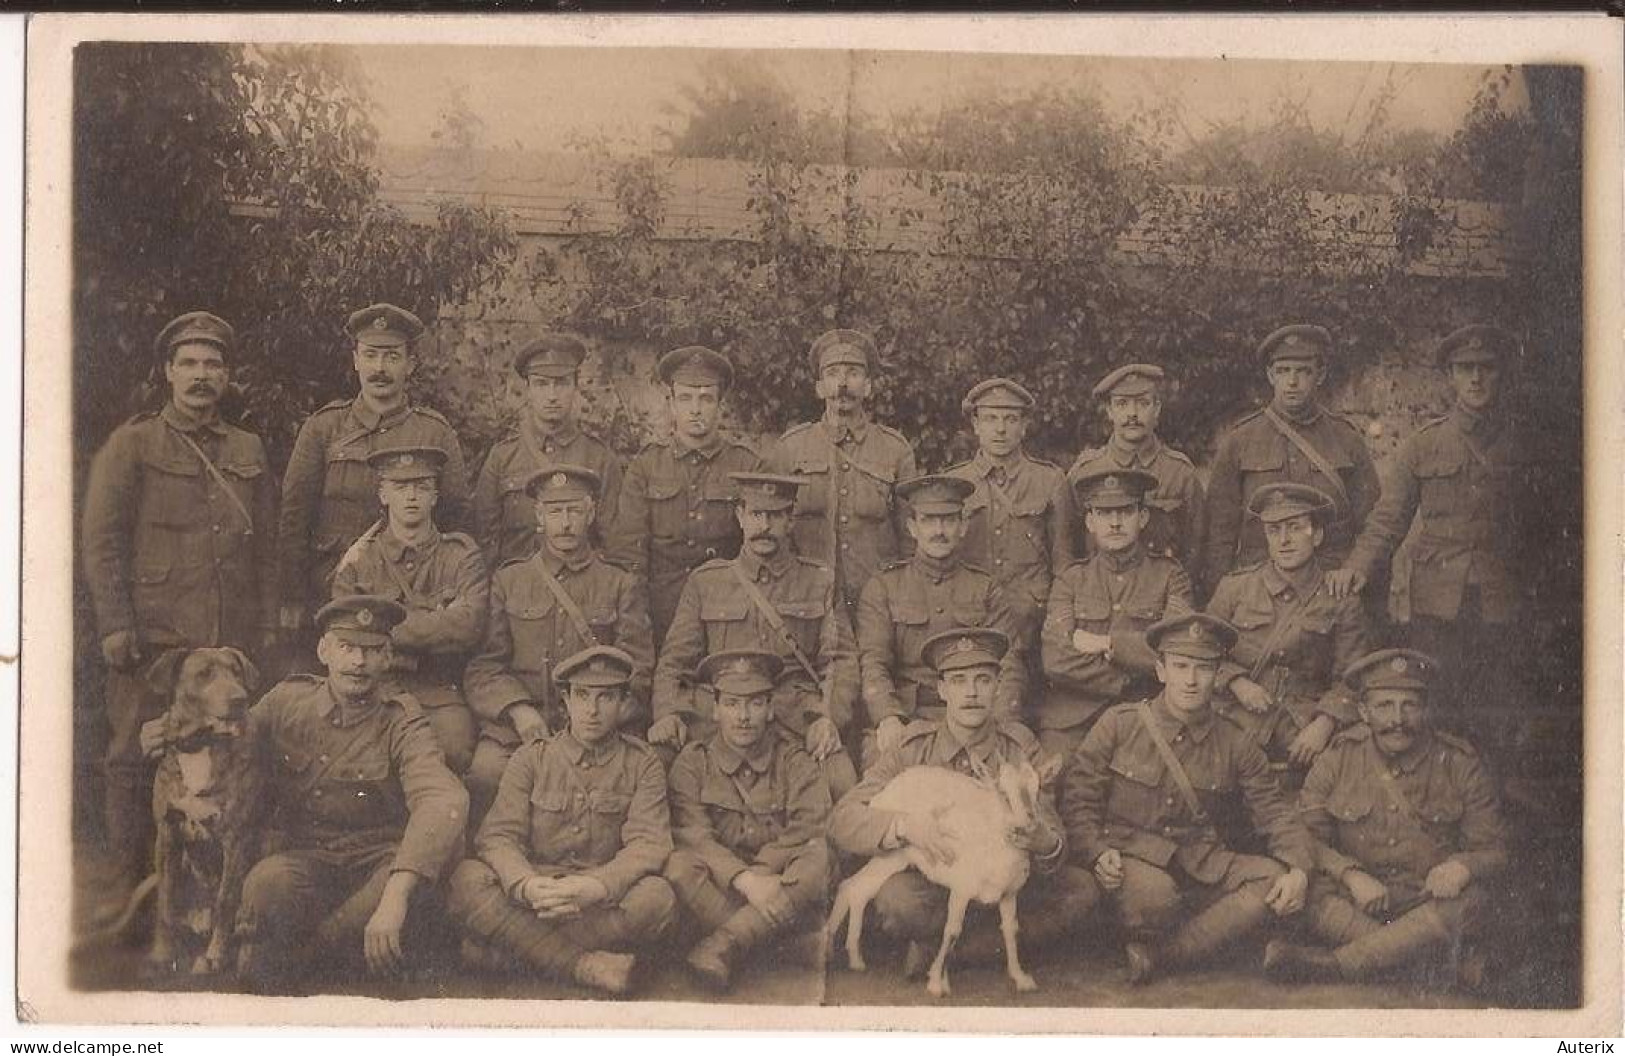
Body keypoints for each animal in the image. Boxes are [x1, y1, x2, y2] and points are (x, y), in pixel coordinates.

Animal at [139, 646, 263, 974]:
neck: (201, 744)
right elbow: (166, 901)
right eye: (204, 674)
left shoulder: (236, 840)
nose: (239, 699)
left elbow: (225, 901)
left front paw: (216, 954)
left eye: (236, 671)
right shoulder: (167, 834)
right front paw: (162, 952)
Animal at [832, 757, 1046, 994]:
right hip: (892, 854)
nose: (1028, 820)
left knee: (855, 888)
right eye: (1003, 793)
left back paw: (853, 959)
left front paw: (1021, 978)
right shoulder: (961, 891)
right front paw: (936, 983)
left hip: (891, 860)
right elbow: (952, 931)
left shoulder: (1009, 894)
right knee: (855, 887)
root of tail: (882, 796)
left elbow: (1010, 929)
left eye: (1038, 790)